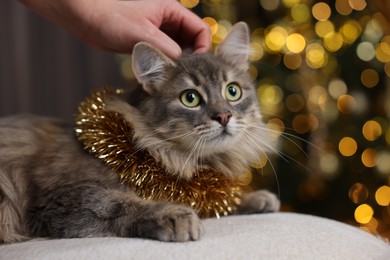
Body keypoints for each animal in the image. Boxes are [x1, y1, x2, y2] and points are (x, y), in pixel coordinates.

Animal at [0, 22, 280, 244]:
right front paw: (174, 215)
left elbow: (216, 200)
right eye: (190, 98)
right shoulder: (61, 199)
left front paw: (255, 198)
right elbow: (119, 202)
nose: (223, 116)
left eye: (233, 91)